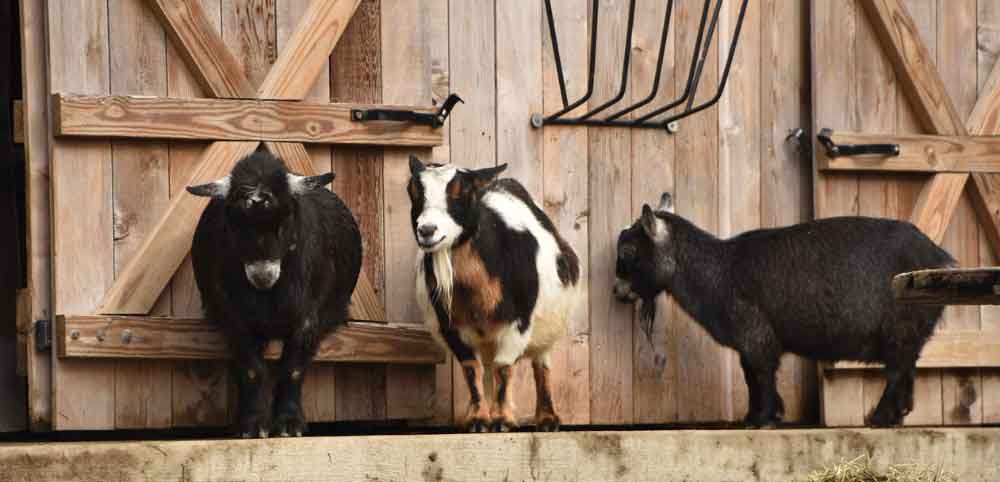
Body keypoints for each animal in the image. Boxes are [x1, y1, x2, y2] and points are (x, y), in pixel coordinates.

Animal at [186, 153, 362, 438]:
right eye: (234, 222)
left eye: (285, 219)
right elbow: (252, 369)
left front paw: (289, 424)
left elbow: (293, 368)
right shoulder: (231, 315)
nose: (262, 276)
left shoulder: (312, 316)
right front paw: (252, 424)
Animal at [404, 155, 580, 434]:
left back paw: (547, 419)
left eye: (462, 193)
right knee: (486, 369)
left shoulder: (519, 322)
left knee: (540, 365)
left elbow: (504, 368)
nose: (427, 230)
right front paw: (478, 419)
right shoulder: (450, 327)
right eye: (413, 191)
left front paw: (502, 421)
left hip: (547, 331)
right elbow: (471, 370)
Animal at [616, 192, 952, 426]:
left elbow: (760, 373)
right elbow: (752, 375)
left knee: (896, 371)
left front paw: (762, 418)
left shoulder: (754, 334)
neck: (720, 270)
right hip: (910, 332)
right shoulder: (751, 341)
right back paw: (897, 415)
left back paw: (879, 418)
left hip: (900, 327)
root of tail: (941, 257)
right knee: (906, 369)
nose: (618, 291)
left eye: (628, 252)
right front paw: (760, 415)